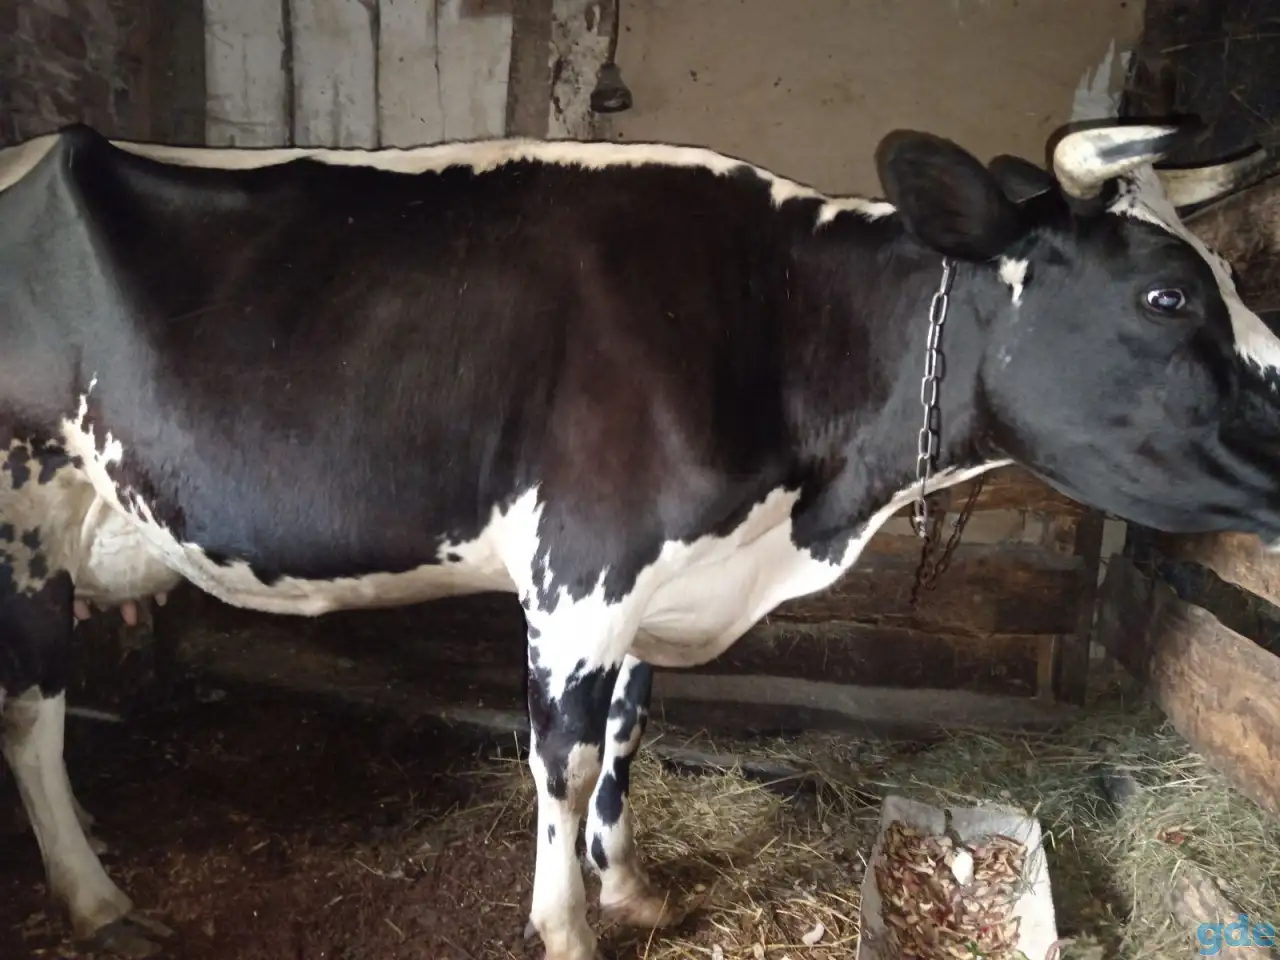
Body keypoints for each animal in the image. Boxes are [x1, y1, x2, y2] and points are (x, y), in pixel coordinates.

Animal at [0, 119, 1275, 960]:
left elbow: (626, 732)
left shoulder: (653, 583)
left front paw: (629, 891)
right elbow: (561, 762)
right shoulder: (581, 573)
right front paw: (566, 927)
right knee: (30, 715)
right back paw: (96, 898)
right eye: (1166, 296)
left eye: (1219, 273)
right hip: (22, 520)